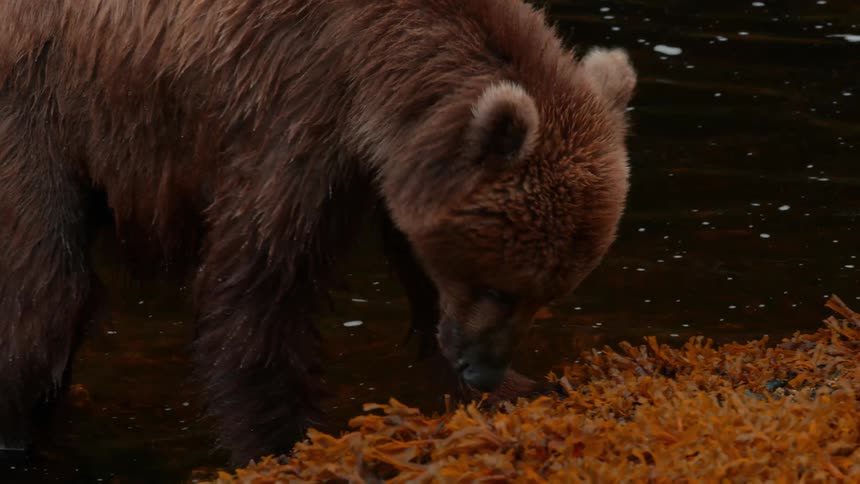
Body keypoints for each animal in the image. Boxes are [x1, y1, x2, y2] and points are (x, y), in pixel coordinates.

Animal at [0, 0, 636, 465]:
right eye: (500, 287)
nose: (483, 369)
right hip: (40, 118)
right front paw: (287, 438)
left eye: (545, 294)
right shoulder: (293, 108)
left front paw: (523, 390)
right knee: (46, 293)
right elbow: (261, 280)